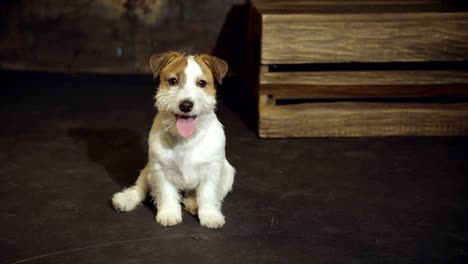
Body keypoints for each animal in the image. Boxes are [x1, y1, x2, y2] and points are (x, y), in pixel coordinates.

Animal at [112, 51, 236, 229]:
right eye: (173, 81)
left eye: (201, 83)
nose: (186, 105)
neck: (186, 139)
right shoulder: (160, 169)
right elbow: (166, 193)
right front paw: (169, 213)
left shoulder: (212, 169)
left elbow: (208, 194)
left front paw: (210, 215)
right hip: (148, 169)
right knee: (140, 188)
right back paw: (126, 199)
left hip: (228, 174)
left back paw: (193, 203)